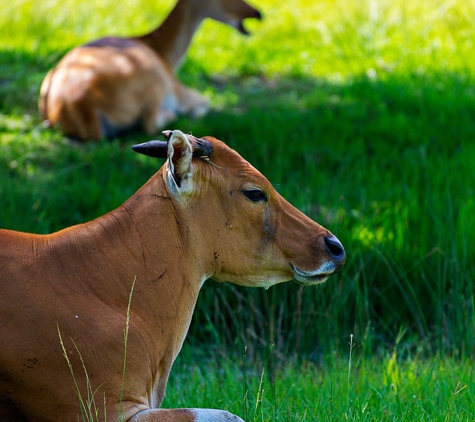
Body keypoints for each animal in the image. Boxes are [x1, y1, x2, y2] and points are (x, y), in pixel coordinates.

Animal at [38, 0, 262, 142]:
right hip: (153, 85)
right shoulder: (179, 91)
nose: (257, 13)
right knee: (150, 123)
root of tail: (79, 105)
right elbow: (205, 102)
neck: (163, 53)